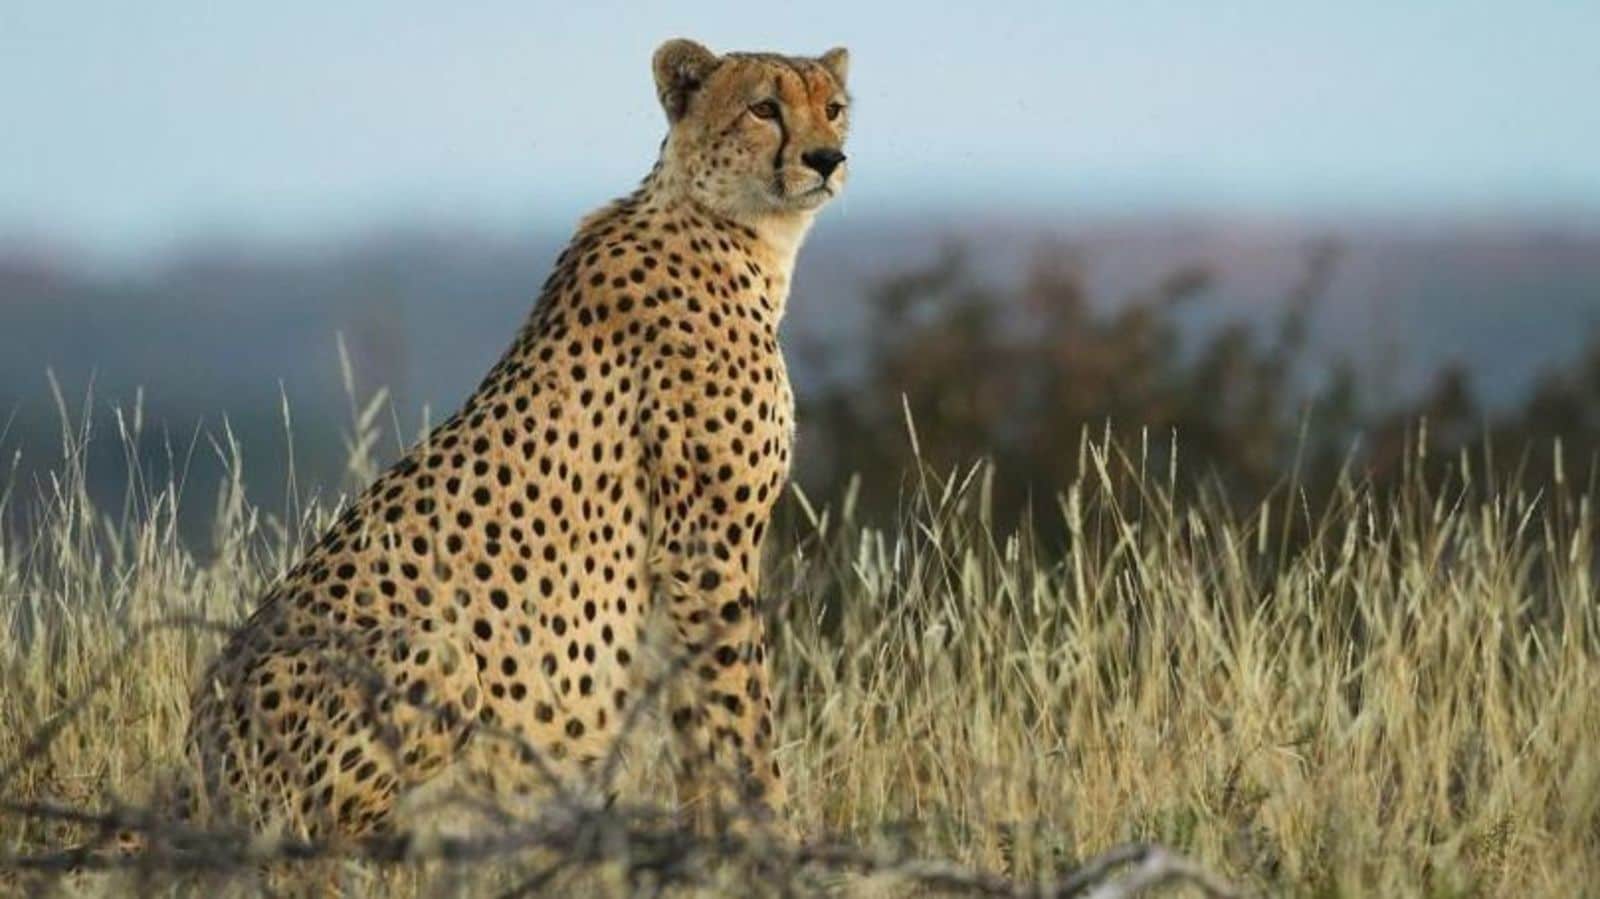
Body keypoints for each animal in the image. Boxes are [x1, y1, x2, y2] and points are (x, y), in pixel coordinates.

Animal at [179, 37, 850, 843]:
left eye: (834, 107)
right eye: (764, 108)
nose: (826, 158)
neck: (734, 227)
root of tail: (190, 764)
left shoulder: (688, 559)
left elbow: (699, 716)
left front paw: (711, 839)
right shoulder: (706, 544)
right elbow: (742, 708)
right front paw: (773, 835)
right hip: (432, 650)